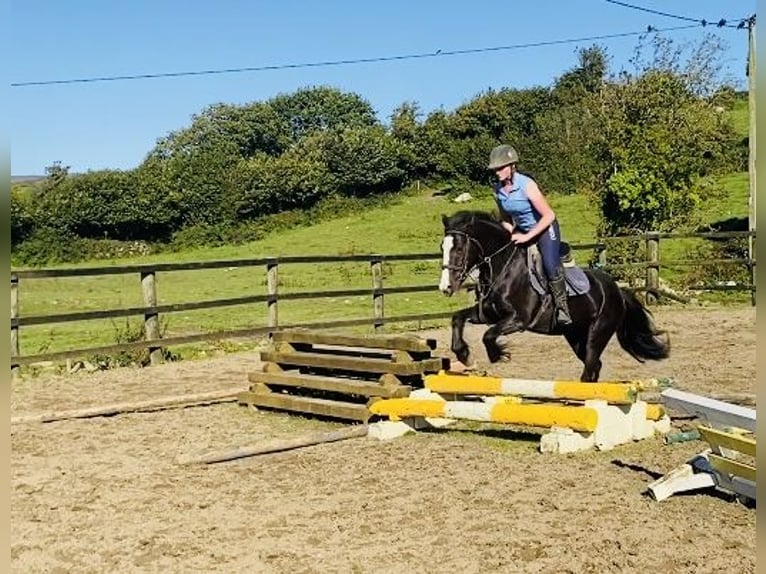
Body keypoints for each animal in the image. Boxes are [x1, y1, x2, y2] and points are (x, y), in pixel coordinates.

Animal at [438, 212, 672, 382]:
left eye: (459, 248)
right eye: (442, 247)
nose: (445, 287)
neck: (502, 266)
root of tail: (617, 291)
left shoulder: (518, 320)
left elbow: (488, 335)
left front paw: (497, 355)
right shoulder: (488, 315)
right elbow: (458, 318)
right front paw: (463, 355)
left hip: (597, 333)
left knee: (590, 365)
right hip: (575, 336)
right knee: (594, 366)